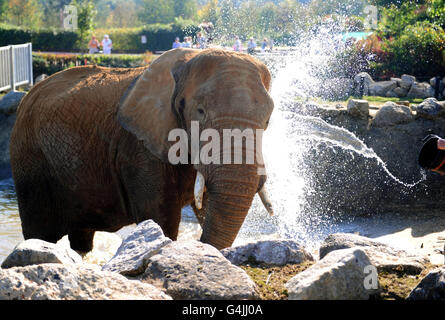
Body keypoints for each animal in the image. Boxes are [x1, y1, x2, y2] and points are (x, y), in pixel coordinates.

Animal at [9, 48, 274, 252]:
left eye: (268, 120)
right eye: (200, 112)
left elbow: (211, 203)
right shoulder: (138, 147)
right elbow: (160, 218)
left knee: (81, 238)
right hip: (29, 159)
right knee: (39, 232)